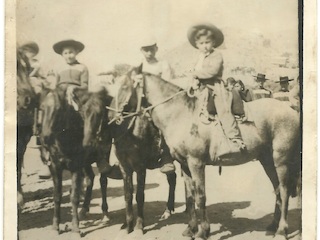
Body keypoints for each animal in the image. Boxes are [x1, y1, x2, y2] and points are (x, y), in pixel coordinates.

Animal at [81, 80, 178, 234]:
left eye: (98, 113)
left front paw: (139, 225)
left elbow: (139, 195)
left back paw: (171, 211)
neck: (128, 130)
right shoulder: (125, 167)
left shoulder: (140, 167)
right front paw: (127, 225)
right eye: (82, 113)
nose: (87, 142)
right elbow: (127, 195)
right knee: (173, 178)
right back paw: (169, 210)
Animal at [114, 73, 302, 240]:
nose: (116, 116)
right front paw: (190, 229)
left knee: (284, 191)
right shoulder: (185, 165)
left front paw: (202, 231)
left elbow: (200, 195)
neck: (181, 114)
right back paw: (273, 226)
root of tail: (292, 112)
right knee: (277, 190)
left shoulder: (196, 163)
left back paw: (281, 231)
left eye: (125, 87)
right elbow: (190, 197)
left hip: (281, 160)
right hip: (267, 160)